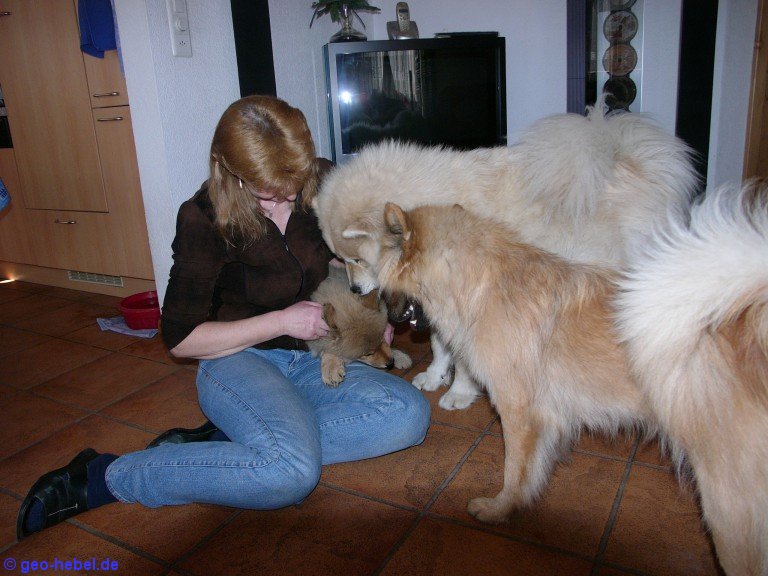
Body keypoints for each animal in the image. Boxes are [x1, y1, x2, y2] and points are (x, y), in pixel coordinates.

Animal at [313, 105, 697, 411]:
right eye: (340, 259)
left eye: (358, 261)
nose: (354, 291)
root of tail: (632, 161)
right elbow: (440, 346)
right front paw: (435, 376)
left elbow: (464, 359)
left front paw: (459, 393)